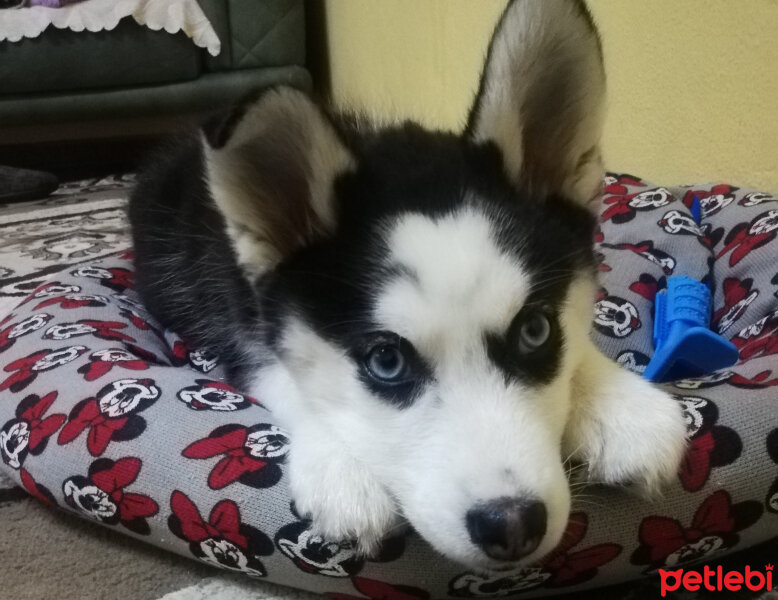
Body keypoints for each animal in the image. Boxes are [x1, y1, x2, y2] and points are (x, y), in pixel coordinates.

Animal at [129, 0, 684, 572]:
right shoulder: (237, 315)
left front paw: (620, 405)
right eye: (386, 361)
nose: (511, 525)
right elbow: (283, 375)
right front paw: (341, 470)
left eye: (534, 331)